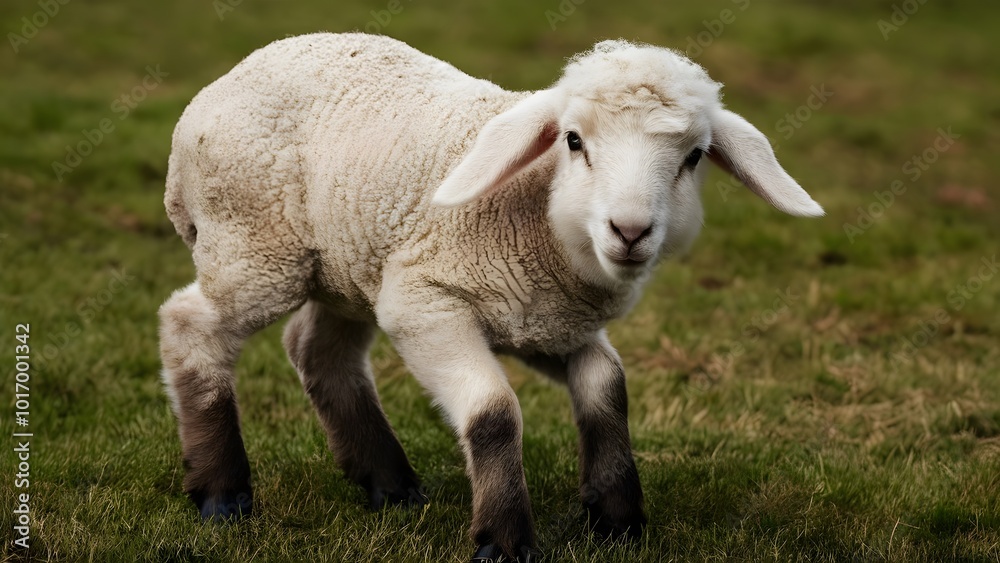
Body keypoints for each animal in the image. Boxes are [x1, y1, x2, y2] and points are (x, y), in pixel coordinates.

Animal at [159, 32, 823, 562]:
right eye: (574, 141)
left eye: (693, 157)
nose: (630, 231)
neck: (537, 215)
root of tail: (220, 86)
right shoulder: (425, 303)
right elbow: (494, 411)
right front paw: (503, 539)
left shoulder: (550, 324)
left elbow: (607, 387)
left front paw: (616, 517)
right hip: (255, 246)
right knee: (190, 323)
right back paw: (221, 492)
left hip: (349, 268)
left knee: (317, 350)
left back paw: (389, 484)